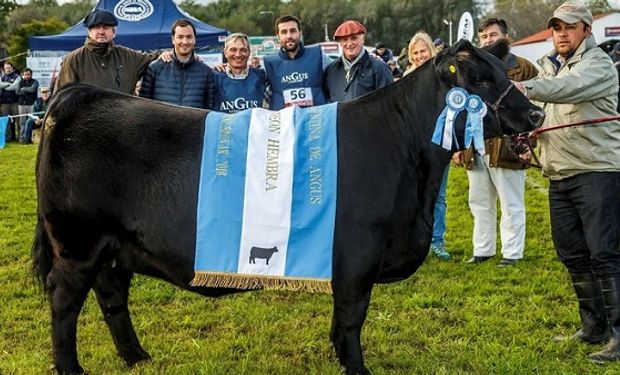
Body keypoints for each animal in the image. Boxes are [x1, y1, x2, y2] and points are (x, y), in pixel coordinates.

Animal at [32, 39, 544, 374]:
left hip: (113, 247)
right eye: (479, 79)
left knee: (112, 295)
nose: (536, 114)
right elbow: (352, 319)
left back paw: (137, 357)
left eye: (504, 73)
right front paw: (357, 369)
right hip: (77, 245)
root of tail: (80, 95)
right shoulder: (357, 257)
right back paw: (72, 369)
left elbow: (342, 322)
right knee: (64, 304)